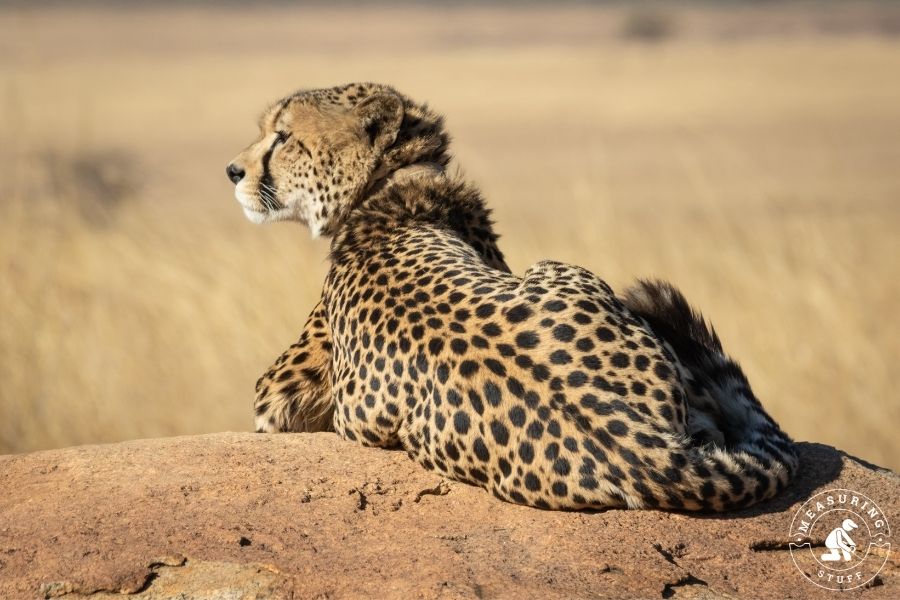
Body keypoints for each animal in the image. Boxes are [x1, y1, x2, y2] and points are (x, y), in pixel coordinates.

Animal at [226, 82, 798, 511]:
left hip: (561, 267)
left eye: (282, 137)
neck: (391, 186)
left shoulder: (277, 393)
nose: (233, 171)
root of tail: (643, 452)